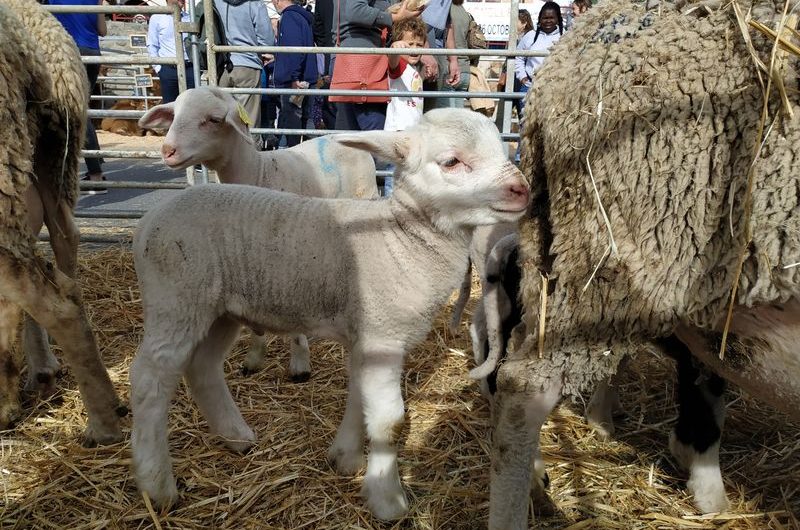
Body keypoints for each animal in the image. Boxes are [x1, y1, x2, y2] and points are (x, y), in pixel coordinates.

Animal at [137, 84, 378, 378]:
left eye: (213, 120)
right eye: (174, 116)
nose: (168, 150)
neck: (258, 171)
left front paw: (300, 364)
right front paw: (254, 359)